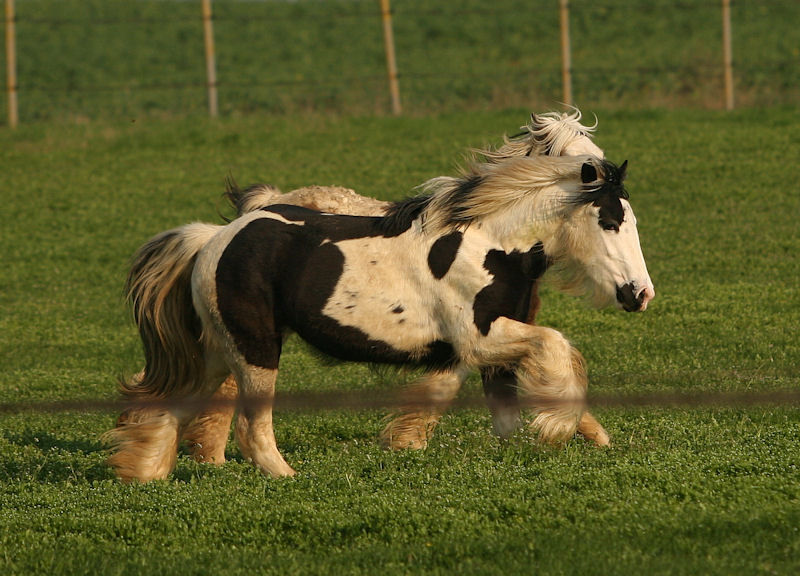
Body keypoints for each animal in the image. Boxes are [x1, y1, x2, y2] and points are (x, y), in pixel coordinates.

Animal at [106, 147, 652, 476]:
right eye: (609, 220)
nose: (640, 294)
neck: (488, 245)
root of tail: (214, 238)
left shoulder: (486, 349)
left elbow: (503, 406)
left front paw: (589, 439)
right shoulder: (481, 339)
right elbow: (556, 345)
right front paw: (555, 429)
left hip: (220, 351)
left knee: (175, 404)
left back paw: (144, 473)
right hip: (256, 351)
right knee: (250, 427)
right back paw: (285, 476)